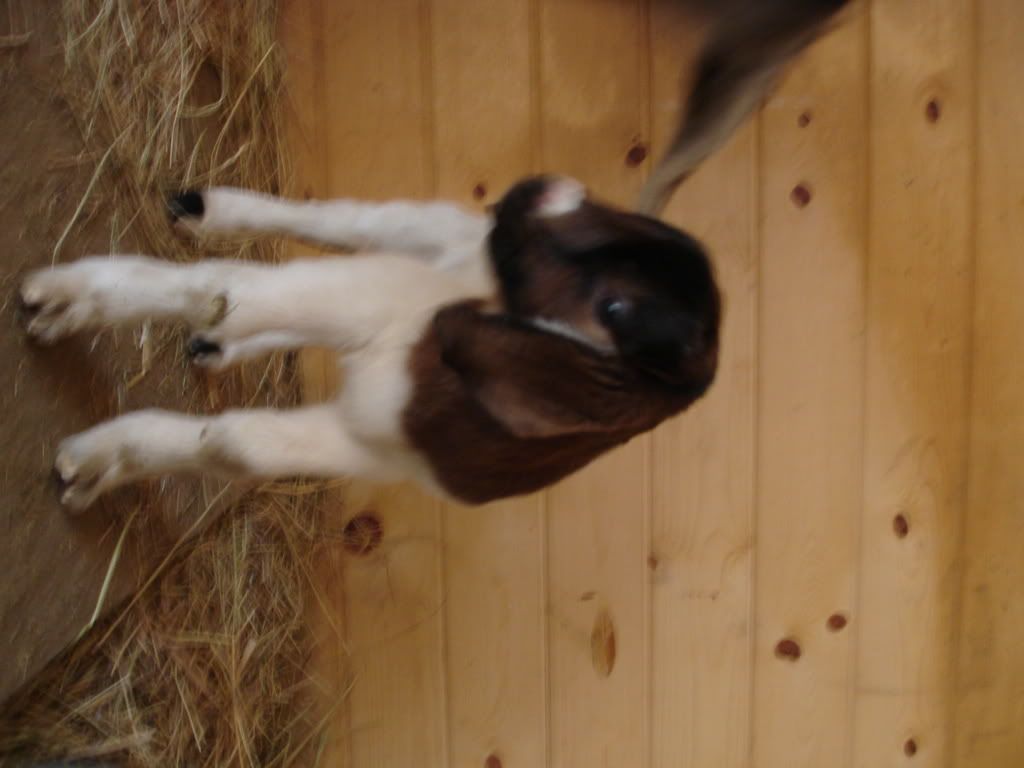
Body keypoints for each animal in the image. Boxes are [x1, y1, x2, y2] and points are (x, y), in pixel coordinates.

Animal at [19, 176, 720, 510]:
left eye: (616, 306)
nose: (537, 190)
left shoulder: (372, 444)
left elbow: (233, 446)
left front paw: (95, 465)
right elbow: (226, 287)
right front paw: (65, 298)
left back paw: (214, 342)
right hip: (425, 235)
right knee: (338, 222)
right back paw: (206, 213)